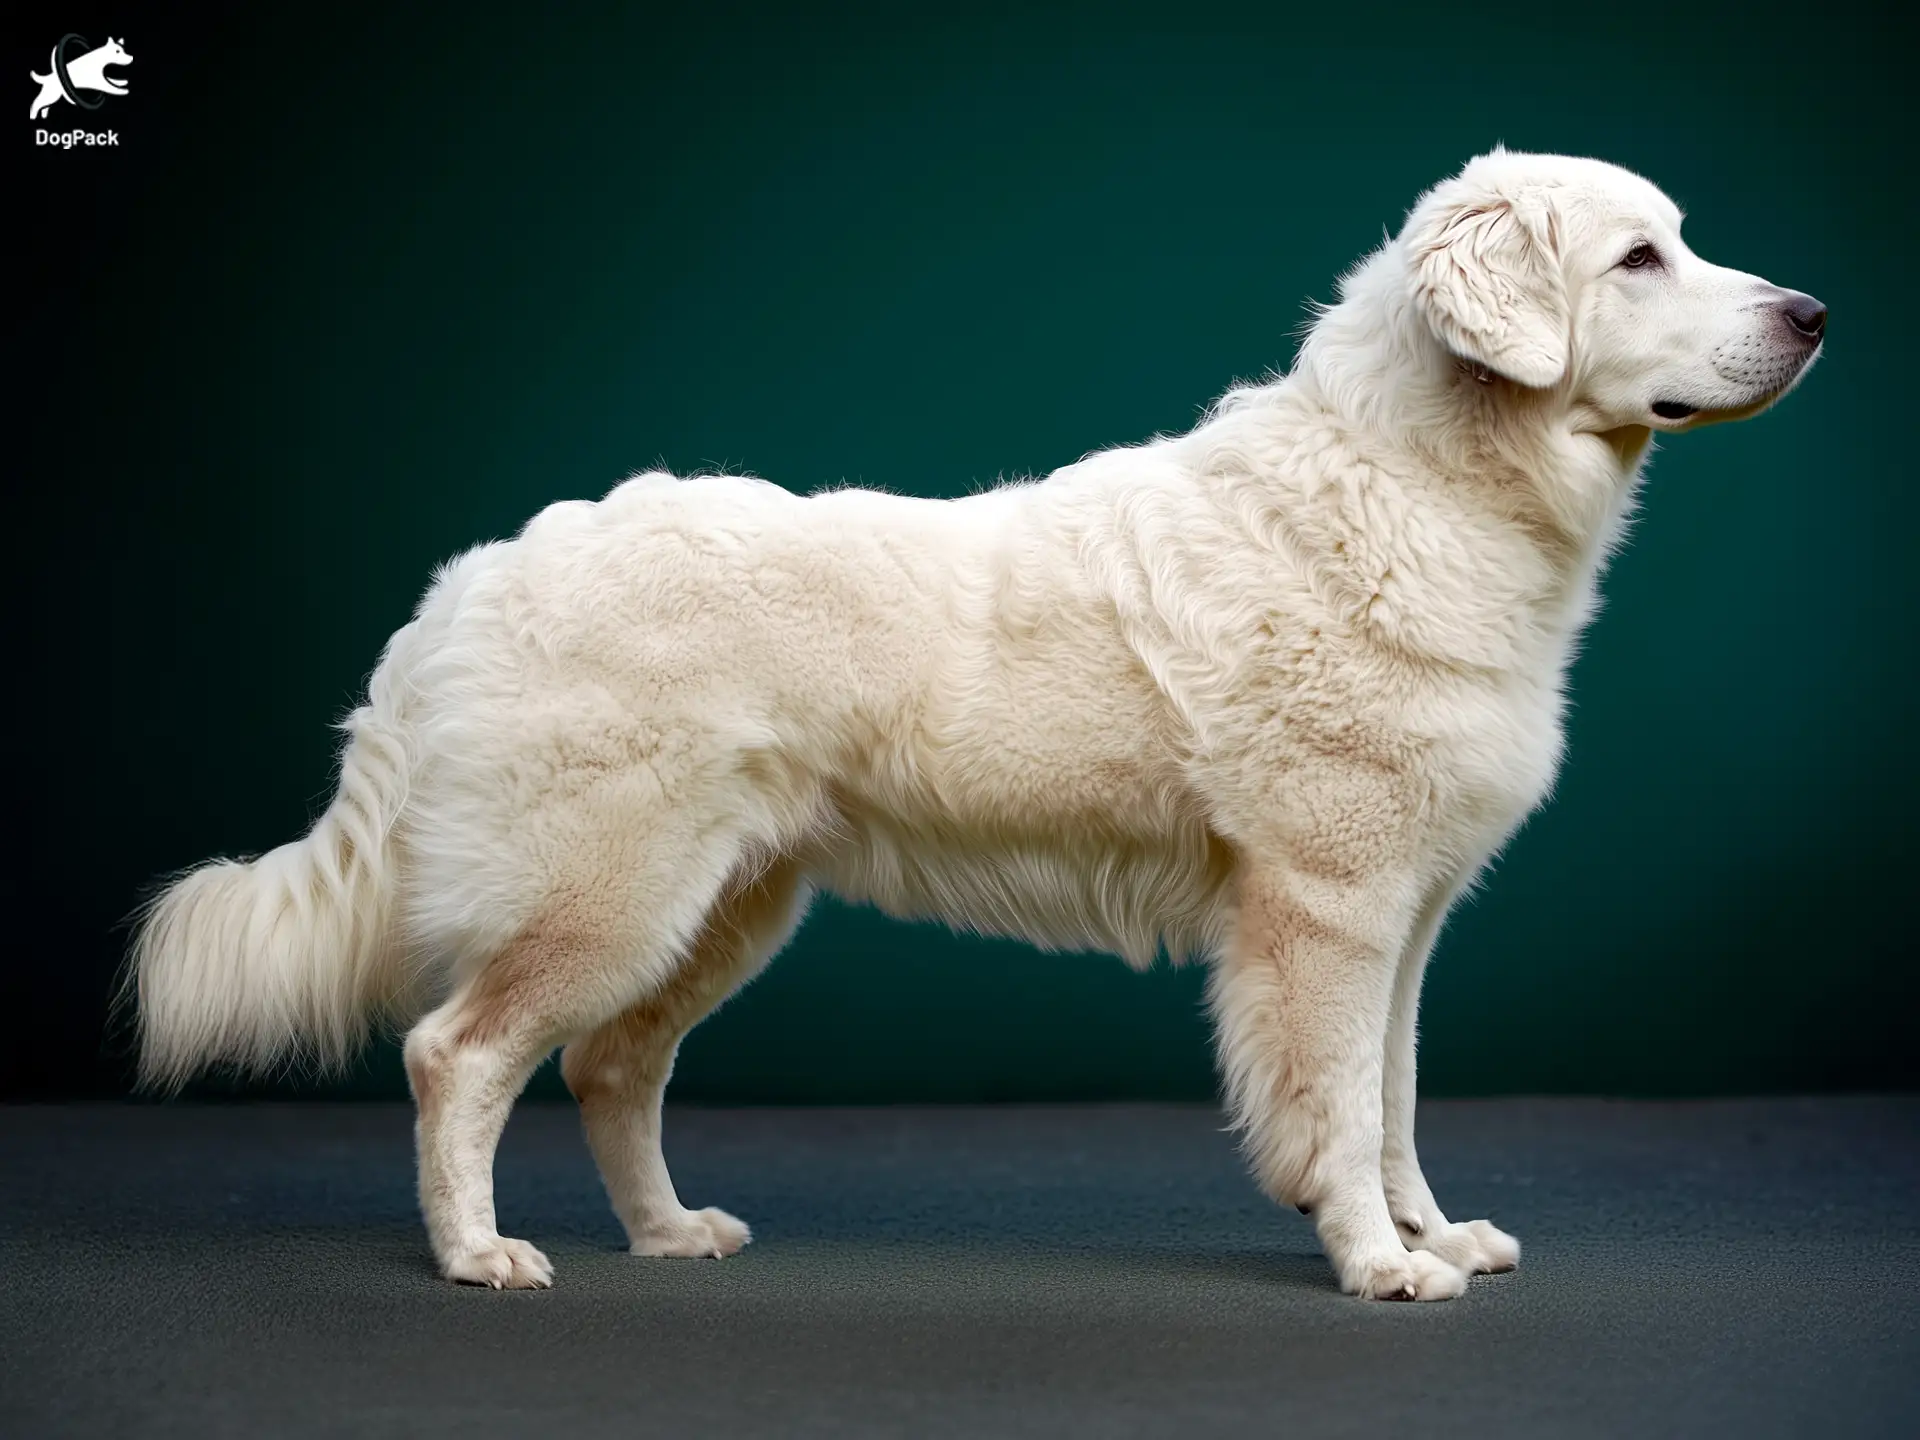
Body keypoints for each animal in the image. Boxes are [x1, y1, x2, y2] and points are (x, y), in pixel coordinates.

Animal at [127, 152, 1820, 1305]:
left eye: (1683, 240)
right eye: (1642, 257)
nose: (1810, 312)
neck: (1412, 489)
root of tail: (478, 573)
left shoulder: (1405, 923)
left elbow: (1393, 1104)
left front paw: (1433, 1235)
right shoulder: (1326, 912)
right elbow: (1336, 1113)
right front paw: (1376, 1264)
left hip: (722, 913)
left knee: (610, 1070)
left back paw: (671, 1236)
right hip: (609, 899)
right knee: (456, 1053)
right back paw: (482, 1256)